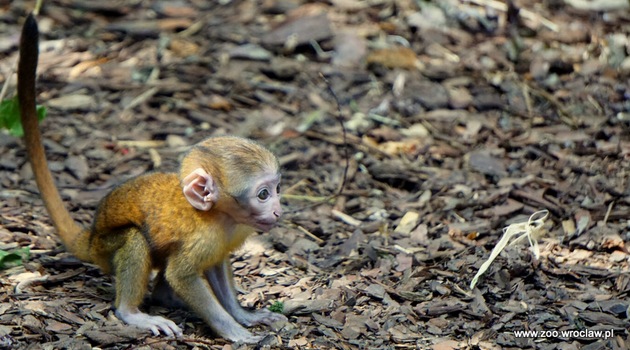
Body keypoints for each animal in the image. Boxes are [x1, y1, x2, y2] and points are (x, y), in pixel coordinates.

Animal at [17, 13, 288, 342]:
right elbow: (182, 275)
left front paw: (244, 316)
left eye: (277, 189)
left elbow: (216, 264)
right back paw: (132, 312)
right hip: (106, 249)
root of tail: (91, 236)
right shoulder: (202, 236)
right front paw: (233, 330)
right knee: (135, 239)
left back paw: (165, 298)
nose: (277, 210)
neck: (219, 216)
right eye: (263, 194)